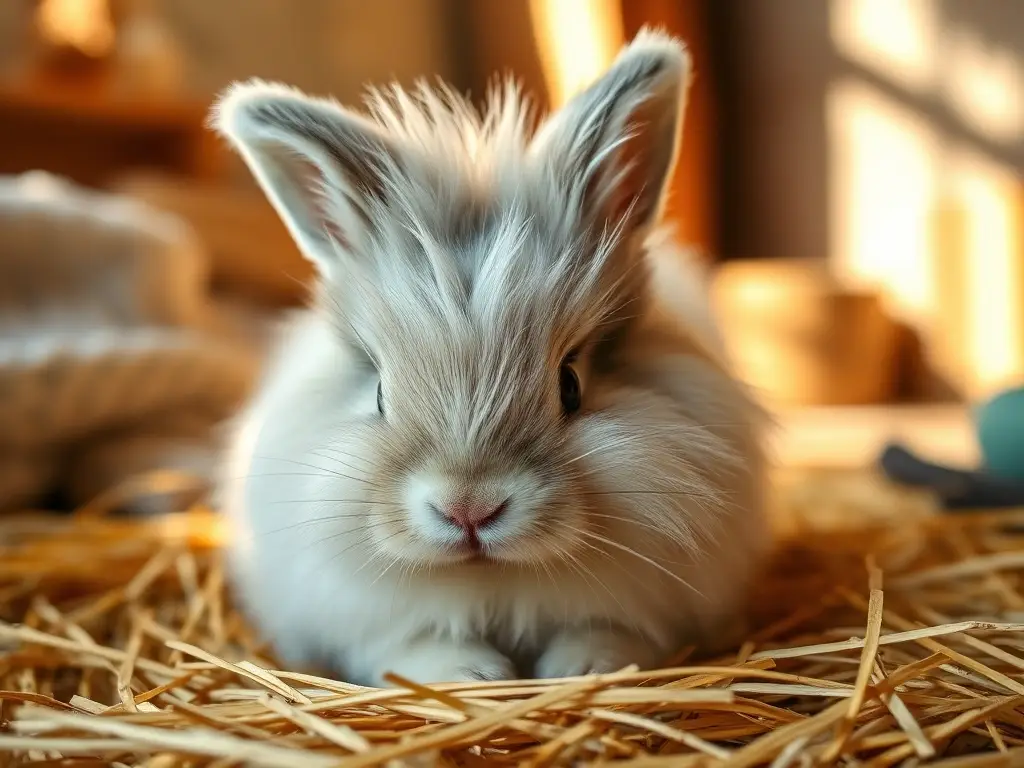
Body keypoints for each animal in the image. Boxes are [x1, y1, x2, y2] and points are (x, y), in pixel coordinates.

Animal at [214, 29, 769, 687]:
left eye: (570, 383)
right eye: (379, 392)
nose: (469, 511)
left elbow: (612, 633)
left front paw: (580, 667)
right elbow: (410, 645)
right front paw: (468, 675)